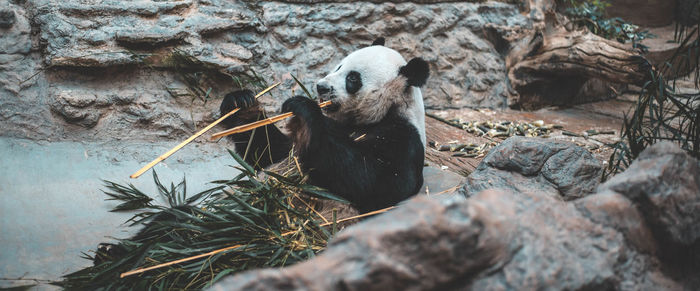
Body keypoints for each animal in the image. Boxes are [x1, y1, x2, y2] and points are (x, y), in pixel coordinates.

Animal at [220, 37, 426, 213]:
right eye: (339, 66)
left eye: (353, 78)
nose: (321, 87)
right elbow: (268, 152)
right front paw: (241, 104)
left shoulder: (402, 138)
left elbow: (378, 181)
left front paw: (304, 110)